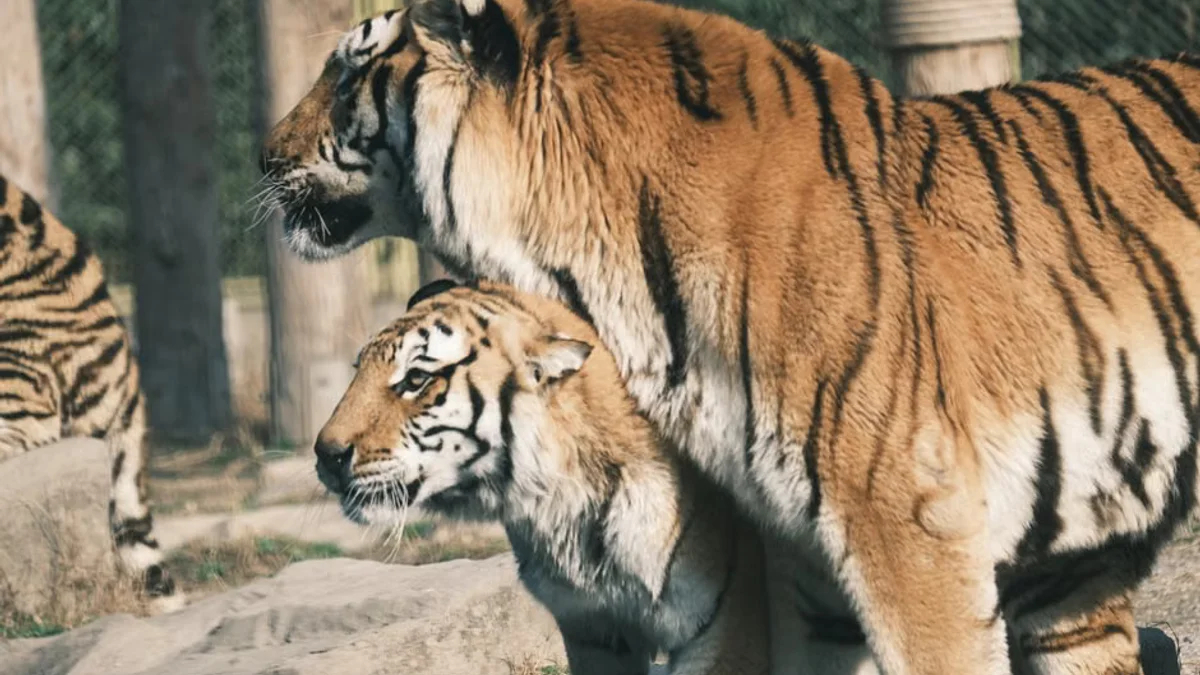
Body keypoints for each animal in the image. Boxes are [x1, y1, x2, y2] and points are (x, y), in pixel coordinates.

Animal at [314, 278, 771, 675]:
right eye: (358, 369)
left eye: (416, 379)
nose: (326, 455)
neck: (561, 509)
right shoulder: (594, 630)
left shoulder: (729, 624)